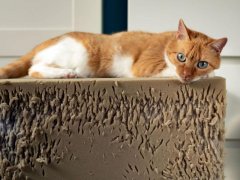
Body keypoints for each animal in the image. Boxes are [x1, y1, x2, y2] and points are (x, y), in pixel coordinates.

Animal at [0, 19, 227, 83]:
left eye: (201, 63)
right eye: (181, 57)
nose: (187, 76)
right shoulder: (145, 67)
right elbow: (169, 70)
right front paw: (209, 75)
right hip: (77, 54)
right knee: (34, 69)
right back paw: (65, 74)